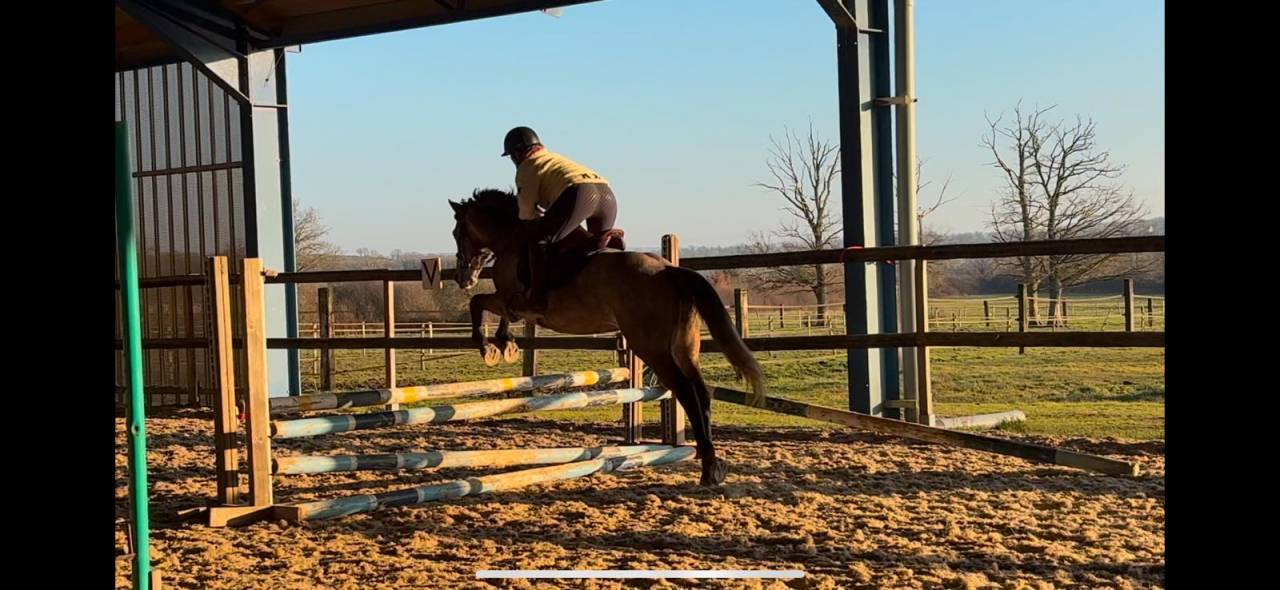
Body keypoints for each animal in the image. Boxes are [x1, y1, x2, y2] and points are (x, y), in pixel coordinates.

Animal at [448, 188, 766, 485]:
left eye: (456, 232)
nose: (464, 278)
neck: (511, 238)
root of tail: (668, 270)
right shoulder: (511, 303)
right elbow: (492, 309)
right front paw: (505, 344)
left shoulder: (511, 299)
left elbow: (477, 303)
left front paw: (489, 347)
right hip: (684, 348)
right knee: (700, 392)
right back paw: (708, 457)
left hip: (652, 348)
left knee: (686, 391)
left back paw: (709, 468)